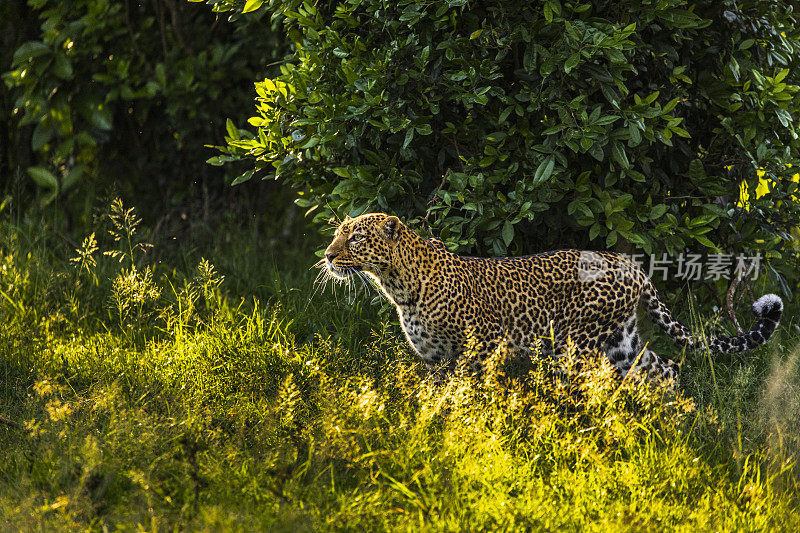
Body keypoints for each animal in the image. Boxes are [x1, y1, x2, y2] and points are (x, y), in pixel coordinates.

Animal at [322, 210, 784, 380]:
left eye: (356, 238)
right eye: (339, 233)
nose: (327, 255)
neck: (398, 285)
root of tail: (629, 263)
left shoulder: (481, 349)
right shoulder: (435, 360)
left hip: (577, 344)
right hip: (621, 340)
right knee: (662, 367)